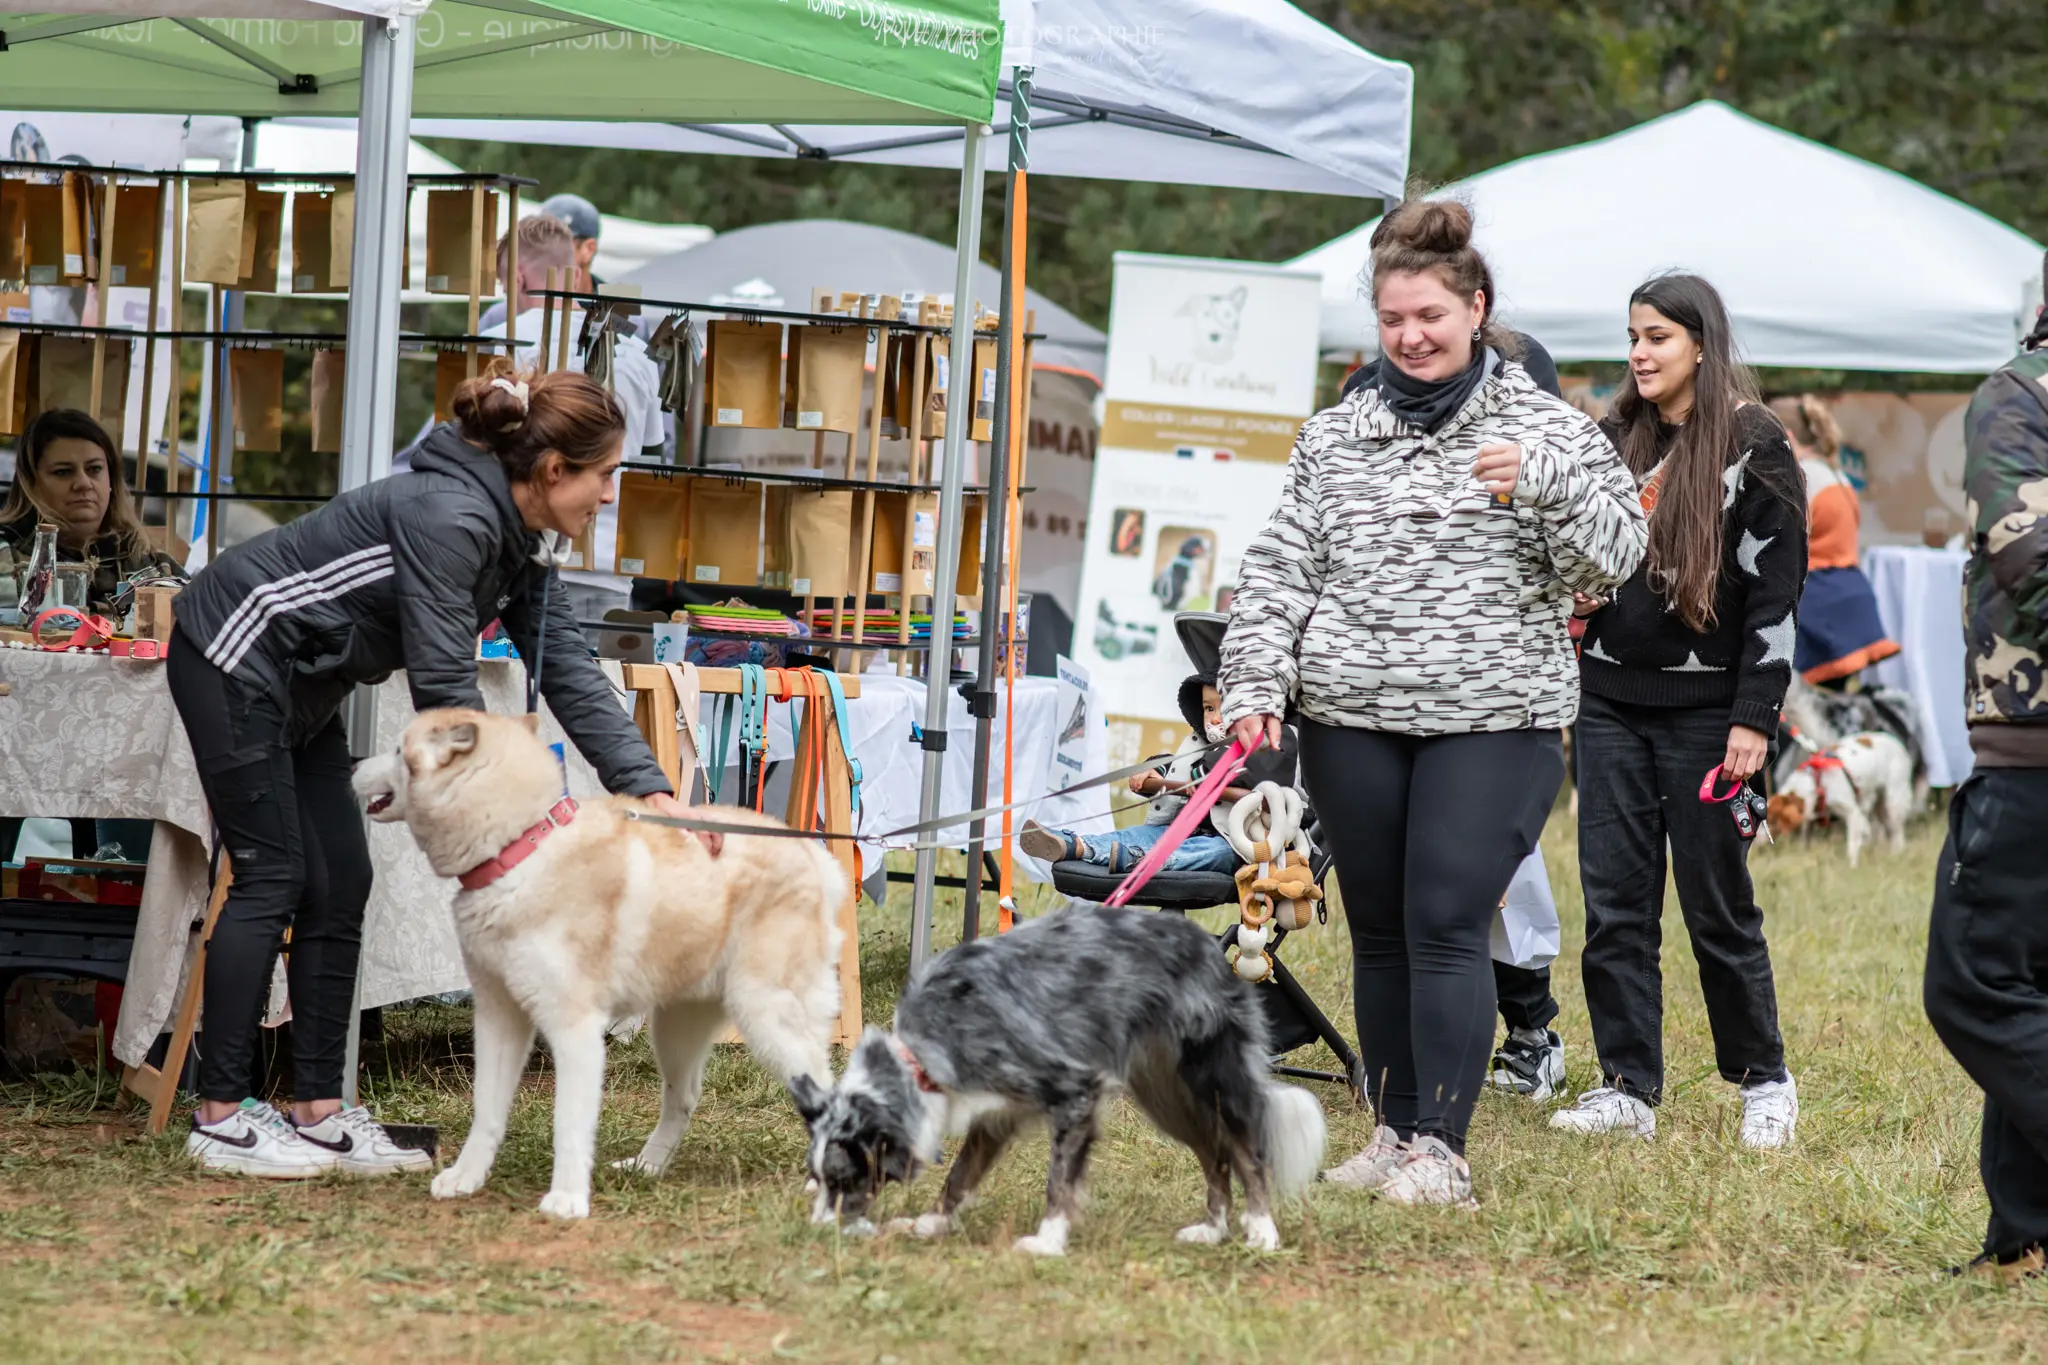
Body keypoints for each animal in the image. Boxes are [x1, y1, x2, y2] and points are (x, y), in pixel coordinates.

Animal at [352, 712, 847, 1219]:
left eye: (397, 750)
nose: (352, 763)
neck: (520, 849)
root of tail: (813, 855)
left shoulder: (575, 1030)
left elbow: (569, 1123)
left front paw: (567, 1199)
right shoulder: (498, 1018)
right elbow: (486, 1110)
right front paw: (466, 1177)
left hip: (769, 1019)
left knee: (829, 1094)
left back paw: (825, 1180)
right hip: (676, 1029)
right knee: (684, 1099)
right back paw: (647, 1167)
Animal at [782, 912, 1327, 1252]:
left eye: (845, 1180)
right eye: (818, 1182)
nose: (818, 1233)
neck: (925, 1053)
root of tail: (1214, 947)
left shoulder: (1073, 1092)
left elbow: (1059, 1179)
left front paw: (1047, 1241)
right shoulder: (995, 1111)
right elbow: (961, 1173)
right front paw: (932, 1222)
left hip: (1213, 1080)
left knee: (1246, 1153)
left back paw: (1262, 1232)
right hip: (1165, 1096)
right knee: (1214, 1155)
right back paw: (1213, 1230)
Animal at [1769, 732, 1925, 871]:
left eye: (1772, 820)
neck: (1818, 780)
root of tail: (1898, 742)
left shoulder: (1852, 813)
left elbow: (1852, 846)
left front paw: (1852, 867)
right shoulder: (1811, 821)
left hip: (1894, 801)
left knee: (1897, 832)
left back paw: (1897, 855)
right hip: (1879, 805)